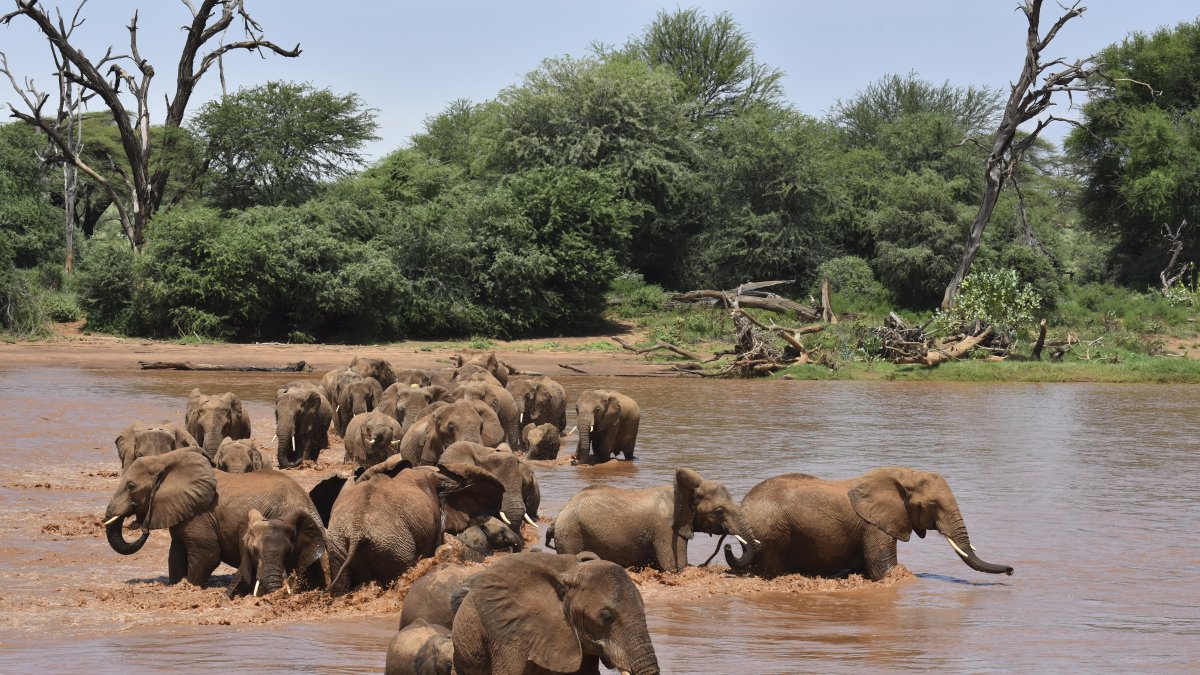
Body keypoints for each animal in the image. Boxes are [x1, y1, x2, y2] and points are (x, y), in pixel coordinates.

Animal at [103, 449, 330, 589]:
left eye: (131, 486)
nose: (141, 526)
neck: (165, 460)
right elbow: (175, 554)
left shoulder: (201, 515)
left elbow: (207, 555)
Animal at [547, 467, 757, 573]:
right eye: (720, 511)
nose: (727, 546)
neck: (682, 494)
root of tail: (558, 516)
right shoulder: (666, 530)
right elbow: (675, 568)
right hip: (571, 535)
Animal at [725, 467, 1015, 580]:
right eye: (932, 505)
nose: (1012, 570)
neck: (902, 475)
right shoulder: (875, 526)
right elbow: (883, 570)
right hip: (772, 531)